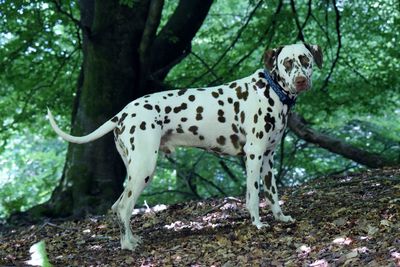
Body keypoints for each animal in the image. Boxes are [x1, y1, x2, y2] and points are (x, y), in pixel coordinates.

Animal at [47, 43, 322, 250]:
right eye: (287, 62)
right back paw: (128, 246)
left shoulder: (268, 158)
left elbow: (272, 194)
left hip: (136, 170)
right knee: (123, 206)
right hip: (144, 168)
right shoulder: (253, 155)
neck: (272, 92)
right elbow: (253, 196)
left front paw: (280, 217)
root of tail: (122, 113)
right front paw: (257, 224)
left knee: (119, 207)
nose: (300, 81)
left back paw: (131, 240)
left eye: (305, 59)